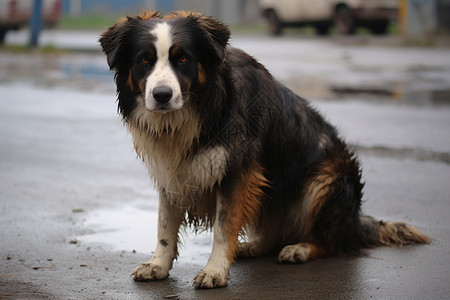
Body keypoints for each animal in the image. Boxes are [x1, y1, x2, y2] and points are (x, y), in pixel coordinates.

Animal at [100, 11, 430, 288]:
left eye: (183, 59)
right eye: (144, 61)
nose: (162, 95)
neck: (204, 106)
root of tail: (356, 221)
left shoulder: (237, 171)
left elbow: (224, 226)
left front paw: (215, 270)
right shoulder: (171, 173)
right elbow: (165, 227)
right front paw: (158, 265)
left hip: (324, 182)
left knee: (332, 242)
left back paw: (299, 248)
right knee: (273, 233)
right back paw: (251, 246)